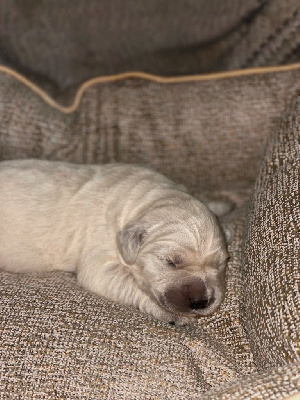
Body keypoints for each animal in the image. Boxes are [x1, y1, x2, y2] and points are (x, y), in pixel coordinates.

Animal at [0, 159, 231, 324]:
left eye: (221, 264)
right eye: (170, 261)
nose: (200, 302)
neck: (144, 199)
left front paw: (222, 206)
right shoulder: (100, 263)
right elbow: (130, 282)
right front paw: (172, 314)